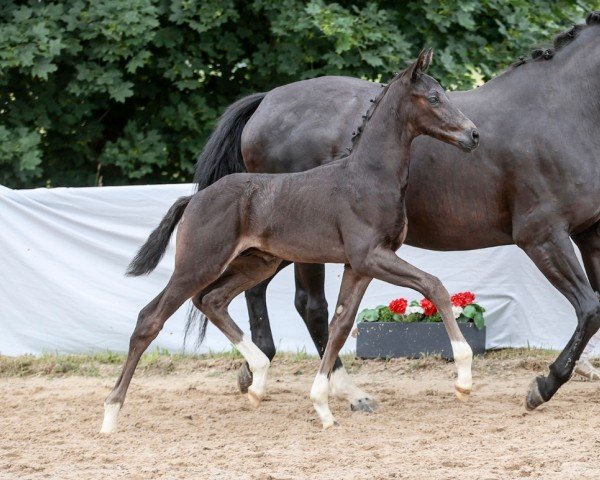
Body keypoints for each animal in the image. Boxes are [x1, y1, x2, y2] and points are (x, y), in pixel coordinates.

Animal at [102, 50, 478, 434]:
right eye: (434, 97)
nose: (473, 134)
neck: (366, 177)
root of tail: (192, 199)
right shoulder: (371, 256)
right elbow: (434, 286)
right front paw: (463, 380)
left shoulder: (358, 266)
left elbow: (340, 325)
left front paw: (323, 406)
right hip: (198, 264)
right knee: (150, 318)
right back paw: (111, 415)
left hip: (255, 263)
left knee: (213, 300)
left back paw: (257, 379)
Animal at [192, 14, 600, 412]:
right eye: (433, 97)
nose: (472, 135)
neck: (560, 112)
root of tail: (265, 102)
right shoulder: (542, 235)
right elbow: (590, 308)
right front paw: (543, 386)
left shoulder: (589, 234)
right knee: (310, 306)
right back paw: (346, 392)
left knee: (255, 290)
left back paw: (254, 370)